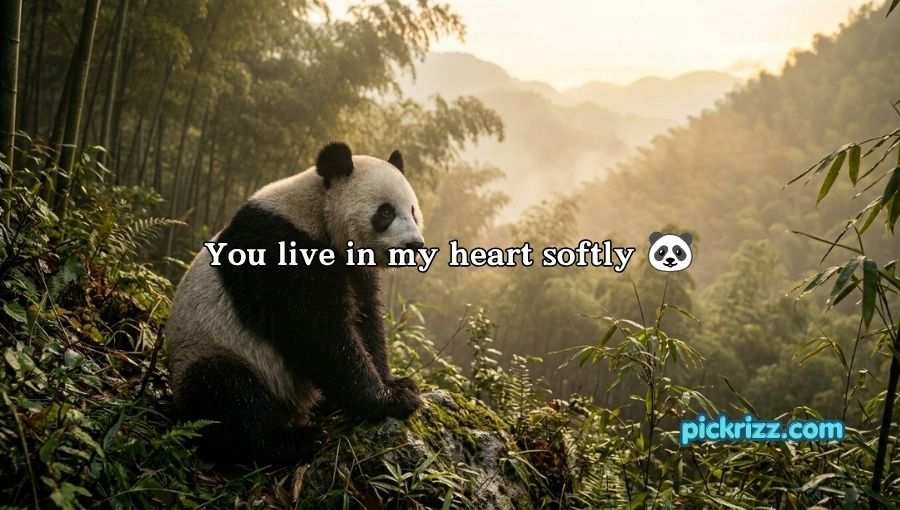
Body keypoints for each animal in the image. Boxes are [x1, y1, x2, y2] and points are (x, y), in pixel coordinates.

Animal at [165, 142, 425, 464]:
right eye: (385, 212)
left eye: (413, 211)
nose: (414, 245)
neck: (316, 211)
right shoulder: (279, 251)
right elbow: (319, 334)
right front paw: (391, 401)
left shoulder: (354, 269)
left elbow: (366, 321)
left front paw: (397, 383)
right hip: (210, 349)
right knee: (228, 395)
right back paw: (293, 441)